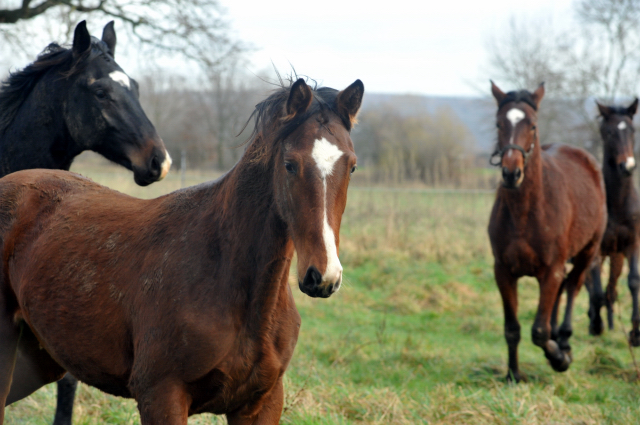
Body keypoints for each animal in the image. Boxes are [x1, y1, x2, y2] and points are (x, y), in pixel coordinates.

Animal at [488, 82, 608, 380]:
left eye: (532, 125)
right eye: (498, 123)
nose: (511, 173)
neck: (525, 212)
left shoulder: (551, 268)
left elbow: (539, 331)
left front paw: (559, 358)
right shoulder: (503, 272)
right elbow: (512, 329)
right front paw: (513, 375)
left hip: (587, 253)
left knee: (573, 286)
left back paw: (563, 340)